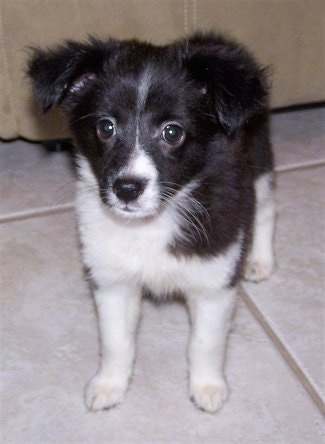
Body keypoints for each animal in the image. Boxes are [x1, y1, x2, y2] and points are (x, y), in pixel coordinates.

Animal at [27, 33, 274, 414]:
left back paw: (260, 260)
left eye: (172, 132)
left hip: (258, 160)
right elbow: (115, 341)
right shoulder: (112, 280)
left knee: (264, 209)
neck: (150, 224)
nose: (127, 188)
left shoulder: (214, 280)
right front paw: (109, 385)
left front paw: (207, 388)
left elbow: (205, 343)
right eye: (106, 127)